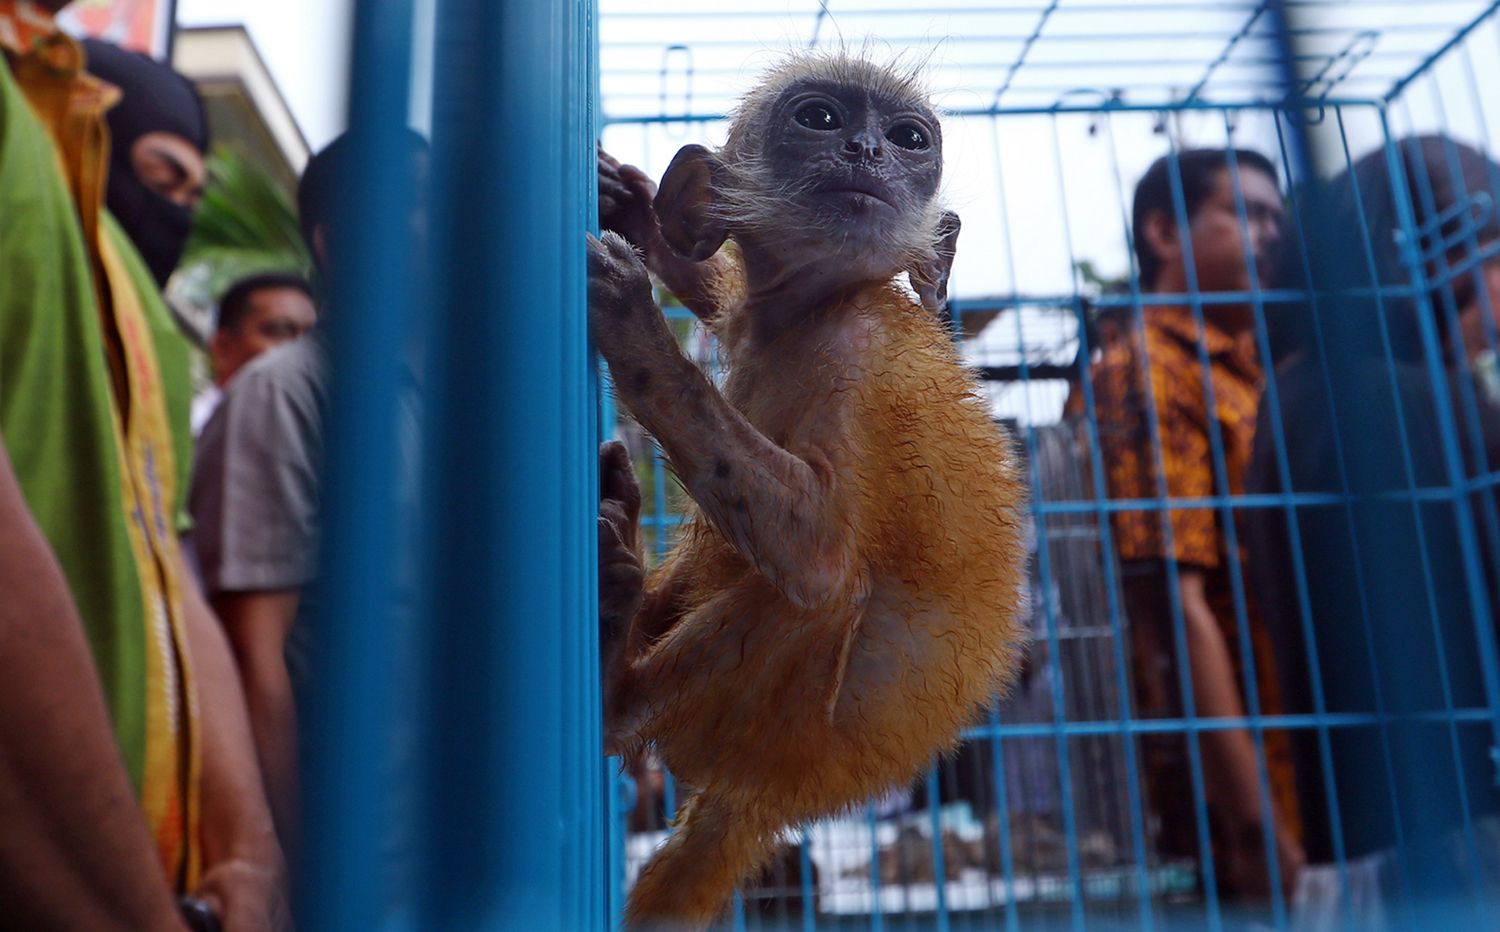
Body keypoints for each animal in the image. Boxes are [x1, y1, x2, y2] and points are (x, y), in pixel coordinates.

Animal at [588, 52, 1032, 930]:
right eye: (821, 119)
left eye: (909, 138)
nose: (868, 150)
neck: (807, 310)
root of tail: (767, 798)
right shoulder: (747, 316)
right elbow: (715, 283)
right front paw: (638, 208)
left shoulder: (859, 353)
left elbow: (821, 561)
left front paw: (633, 327)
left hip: (755, 734)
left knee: (821, 592)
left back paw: (617, 691)